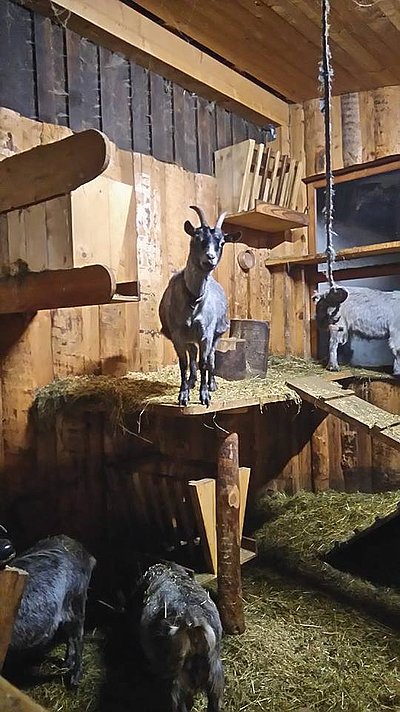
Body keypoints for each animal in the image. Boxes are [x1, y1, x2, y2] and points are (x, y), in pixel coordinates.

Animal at [159, 206, 241, 406]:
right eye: (197, 237)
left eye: (222, 242)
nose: (210, 258)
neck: (193, 301)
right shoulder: (178, 335)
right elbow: (184, 364)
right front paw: (183, 395)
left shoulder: (206, 333)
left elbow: (204, 362)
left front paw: (204, 396)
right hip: (190, 338)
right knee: (193, 357)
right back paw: (192, 381)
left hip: (217, 334)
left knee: (211, 358)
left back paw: (211, 384)